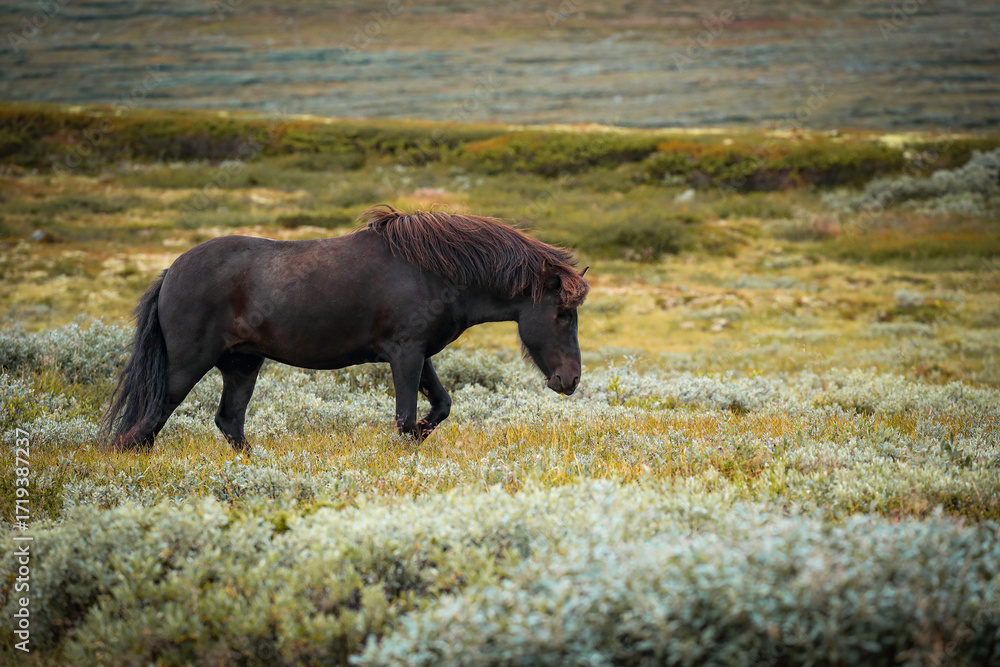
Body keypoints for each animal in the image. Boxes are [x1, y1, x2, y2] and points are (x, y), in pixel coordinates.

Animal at [102, 205, 590, 451]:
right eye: (563, 314)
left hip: (242, 365)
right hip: (187, 365)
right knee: (145, 424)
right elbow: (406, 416)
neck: (435, 271)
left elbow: (440, 407)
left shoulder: (419, 354)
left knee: (228, 421)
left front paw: (422, 436)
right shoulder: (405, 354)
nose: (570, 379)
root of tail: (171, 271)